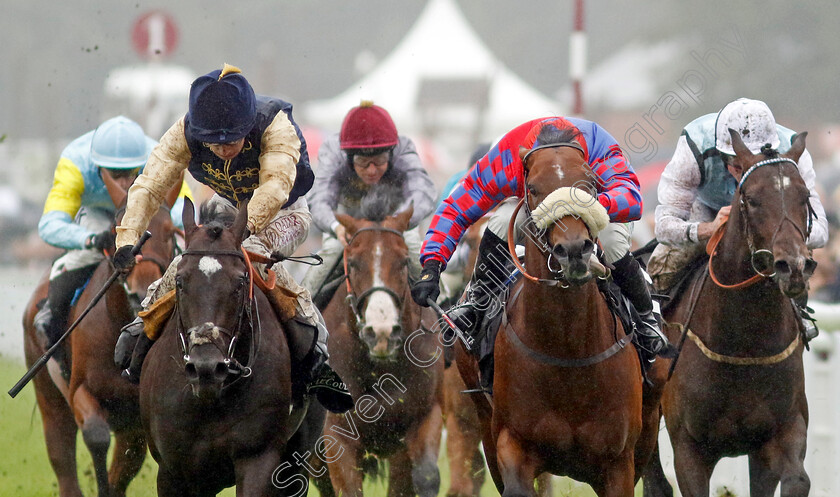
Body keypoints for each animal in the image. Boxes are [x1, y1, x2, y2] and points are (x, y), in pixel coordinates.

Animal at [21, 176, 180, 494]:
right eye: (117, 230)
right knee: (62, 457)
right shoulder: (80, 391)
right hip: (49, 398)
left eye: (170, 234)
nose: (141, 290)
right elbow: (96, 435)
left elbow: (125, 469)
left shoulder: (136, 421)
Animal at [644, 129, 812, 496]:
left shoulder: (780, 434)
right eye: (750, 198)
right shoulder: (689, 450)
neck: (743, 344)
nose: (793, 267)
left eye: (805, 196)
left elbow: (797, 478)